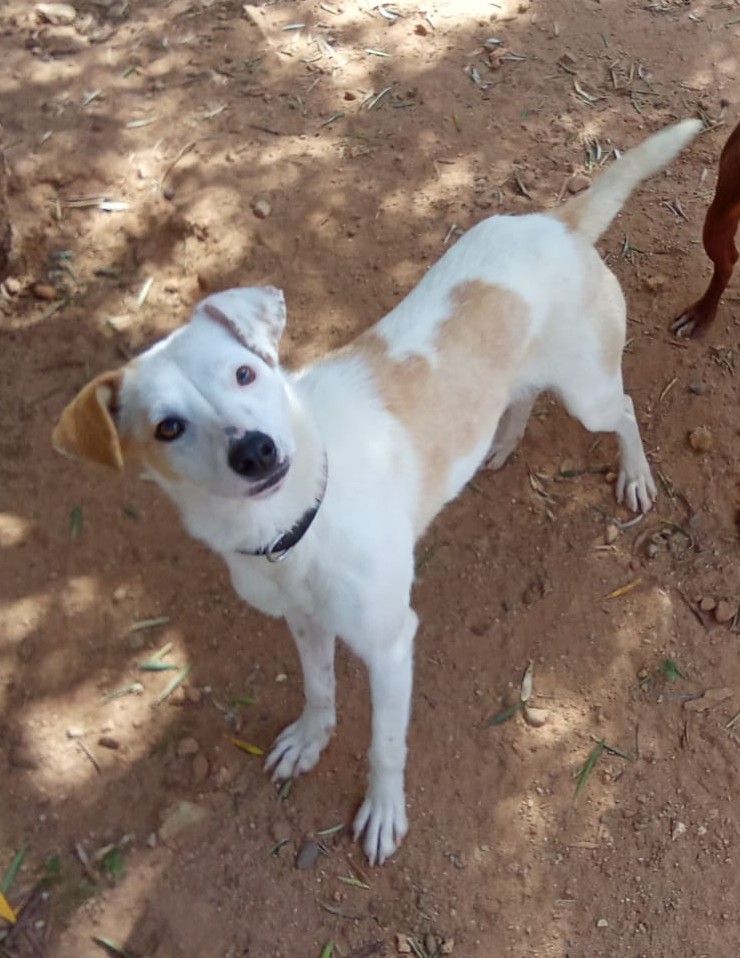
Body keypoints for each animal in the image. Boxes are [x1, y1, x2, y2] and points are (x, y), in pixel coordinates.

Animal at [52, 118, 700, 864]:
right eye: (167, 426)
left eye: (246, 373)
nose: (255, 450)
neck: (294, 524)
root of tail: (556, 222)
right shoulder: (304, 623)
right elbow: (317, 690)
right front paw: (311, 738)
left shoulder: (391, 644)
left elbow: (386, 746)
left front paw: (385, 812)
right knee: (520, 396)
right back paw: (501, 443)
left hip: (588, 393)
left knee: (623, 409)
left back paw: (635, 474)